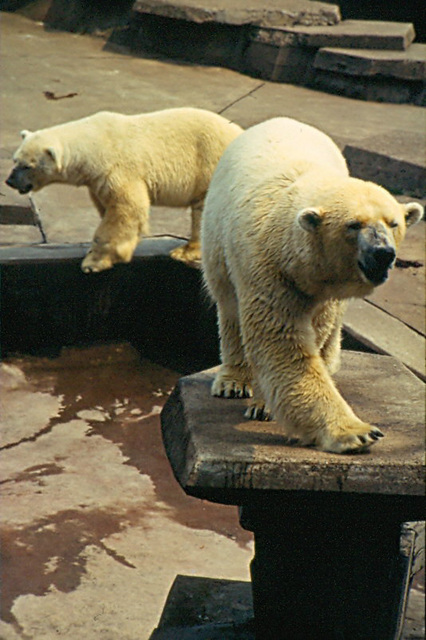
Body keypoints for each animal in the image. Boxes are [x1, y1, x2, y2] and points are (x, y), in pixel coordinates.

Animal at [5, 107, 243, 272]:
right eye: (15, 160)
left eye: (28, 166)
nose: (10, 181)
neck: (95, 144)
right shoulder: (97, 180)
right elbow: (108, 207)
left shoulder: (118, 169)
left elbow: (125, 210)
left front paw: (95, 261)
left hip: (211, 164)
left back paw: (185, 252)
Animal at [202, 116, 422, 456]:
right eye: (354, 225)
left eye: (393, 222)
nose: (382, 253)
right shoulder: (266, 267)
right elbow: (281, 341)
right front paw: (358, 433)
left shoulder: (324, 287)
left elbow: (313, 331)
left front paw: (266, 404)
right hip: (216, 241)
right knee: (228, 305)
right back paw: (232, 381)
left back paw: (329, 363)